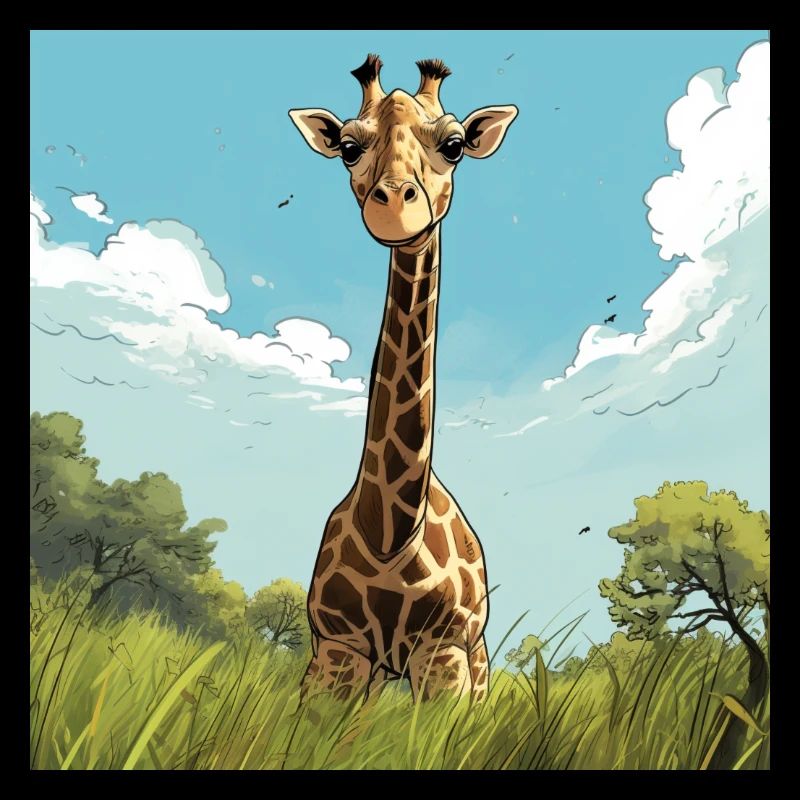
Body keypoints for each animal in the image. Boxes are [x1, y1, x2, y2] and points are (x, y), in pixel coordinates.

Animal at [289, 54, 517, 703]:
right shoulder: (337, 651)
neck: (392, 531)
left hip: (477, 661)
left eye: (455, 145)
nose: (393, 204)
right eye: (347, 146)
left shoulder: (443, 654)